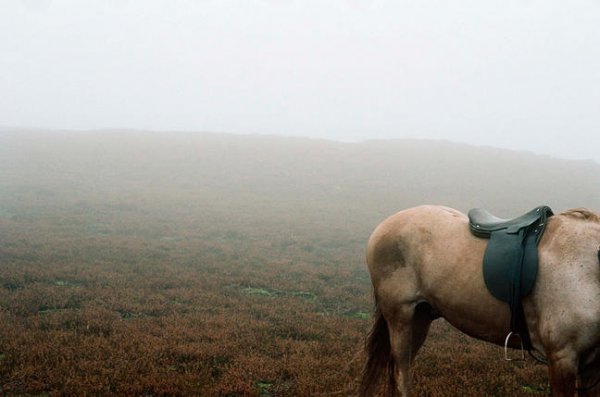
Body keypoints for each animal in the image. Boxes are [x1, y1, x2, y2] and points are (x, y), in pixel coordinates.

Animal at [358, 206, 600, 394]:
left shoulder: (590, 366)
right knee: (402, 377)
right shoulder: (562, 359)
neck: (588, 268)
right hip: (400, 318)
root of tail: (384, 225)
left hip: (420, 318)